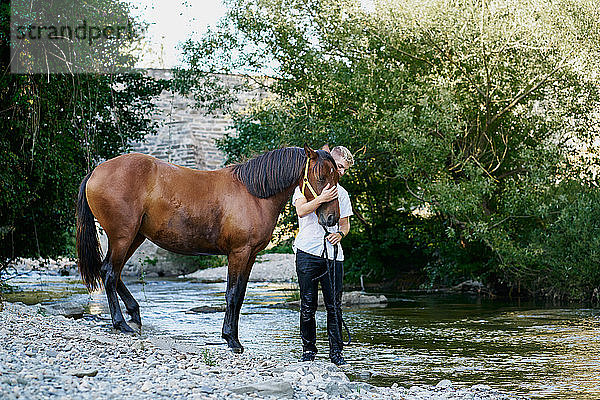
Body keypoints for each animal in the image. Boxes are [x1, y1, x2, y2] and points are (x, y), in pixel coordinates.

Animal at [76, 145, 338, 352]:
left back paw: (134, 313)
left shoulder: (251, 255)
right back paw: (120, 323)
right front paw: (232, 340)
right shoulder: (238, 253)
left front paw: (231, 336)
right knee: (110, 272)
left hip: (134, 237)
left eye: (336, 176)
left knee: (113, 271)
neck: (254, 194)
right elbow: (232, 294)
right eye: (320, 176)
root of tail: (96, 171)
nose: (332, 217)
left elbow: (240, 295)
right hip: (123, 236)